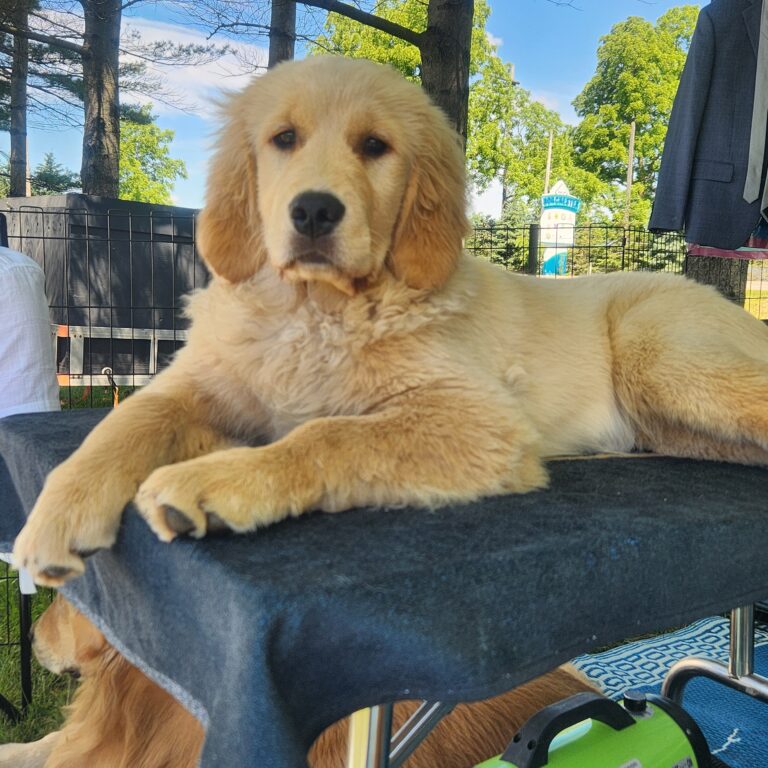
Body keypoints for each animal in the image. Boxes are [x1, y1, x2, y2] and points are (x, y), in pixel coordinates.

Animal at [10, 55, 768, 584]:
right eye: (284, 138)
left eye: (374, 146)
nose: (315, 211)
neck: (318, 308)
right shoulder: (198, 382)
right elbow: (124, 423)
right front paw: (59, 512)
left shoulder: (480, 423)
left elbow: (329, 434)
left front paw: (220, 481)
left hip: (662, 355)